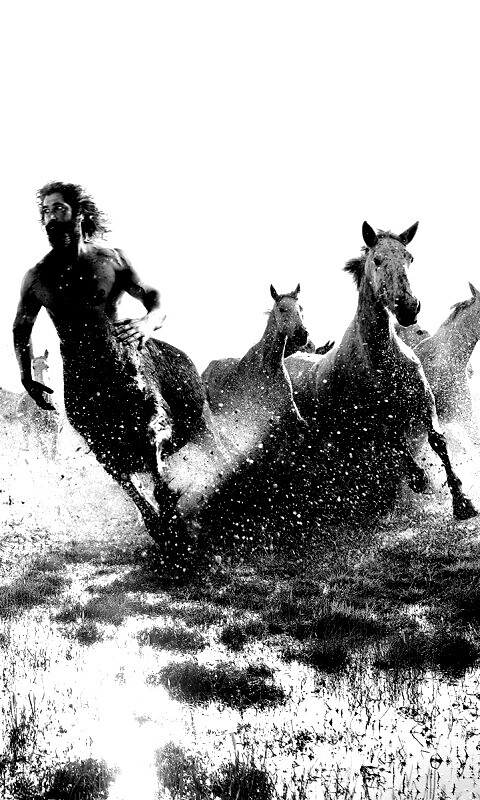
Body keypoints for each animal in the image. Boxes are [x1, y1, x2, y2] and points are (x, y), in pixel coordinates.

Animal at [285, 222, 477, 521]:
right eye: (377, 260)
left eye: (410, 258)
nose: (408, 308)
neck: (381, 361)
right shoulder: (376, 420)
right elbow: (396, 443)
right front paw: (420, 480)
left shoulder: (425, 402)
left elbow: (437, 441)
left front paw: (462, 500)